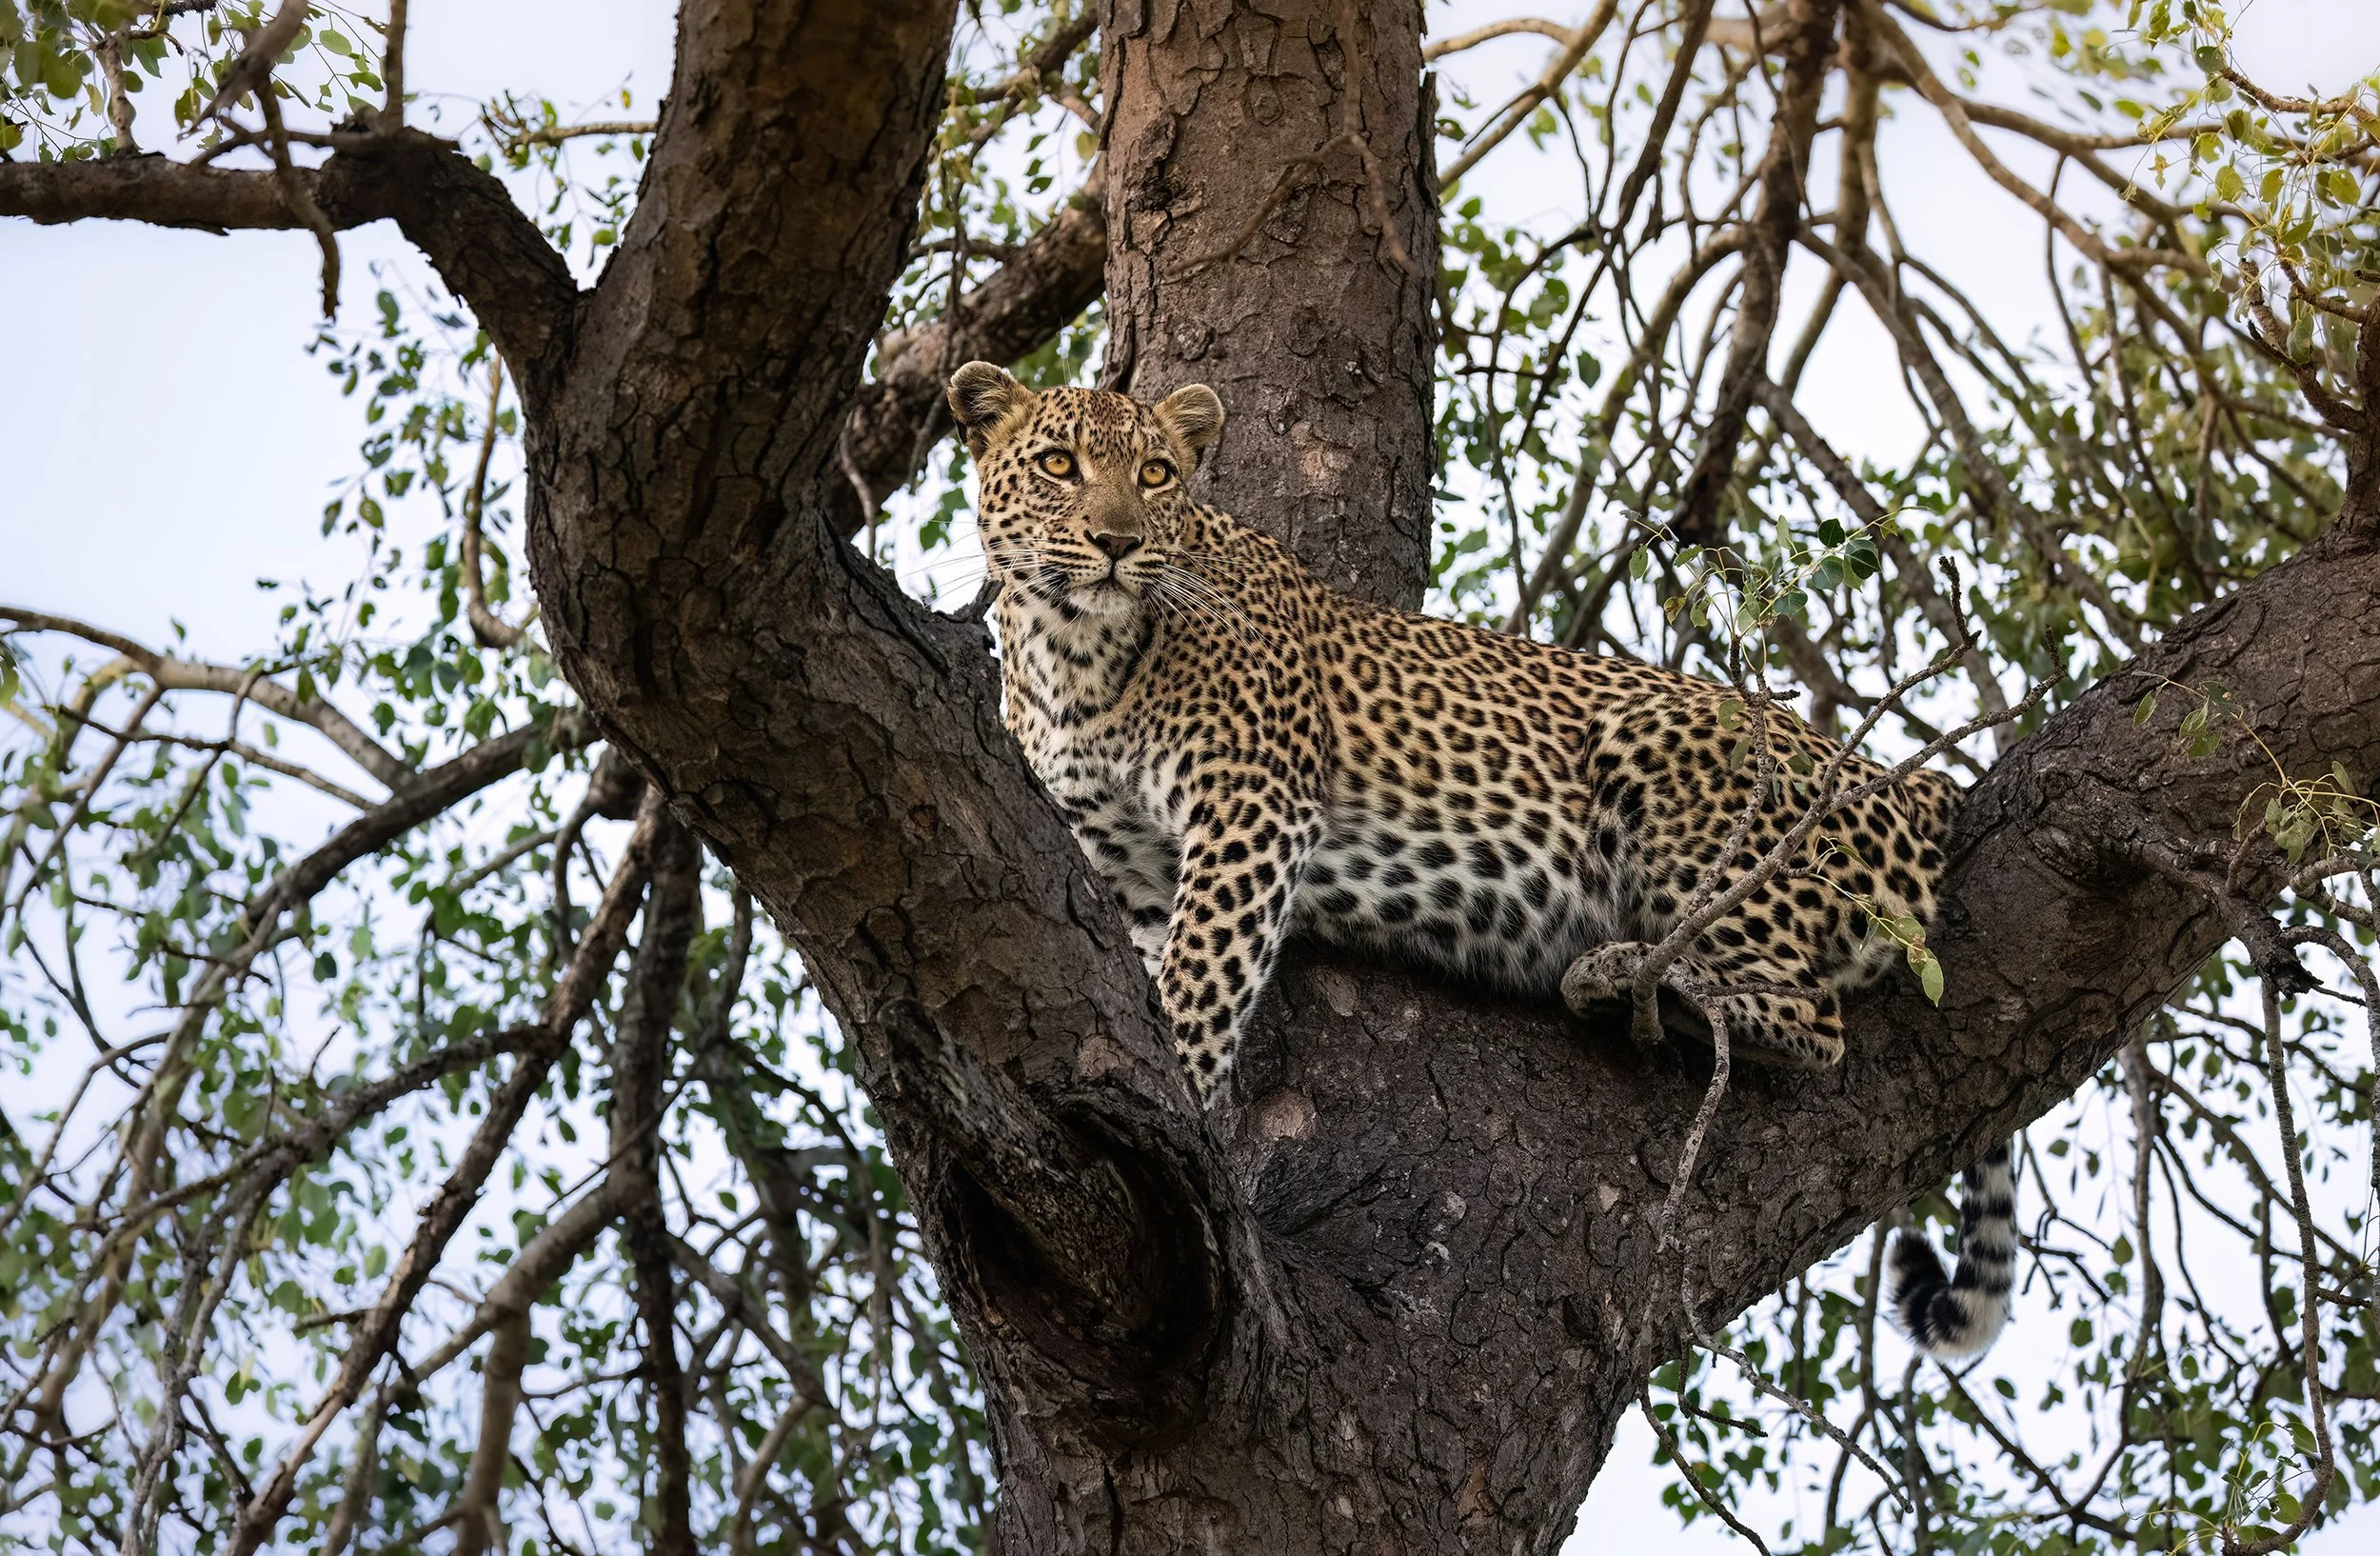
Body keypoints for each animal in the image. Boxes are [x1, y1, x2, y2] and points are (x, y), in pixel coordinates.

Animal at [946, 360, 2016, 1359]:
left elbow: (1204, 979)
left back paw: (1626, 974)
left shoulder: (1254, 803)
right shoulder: (1129, 871)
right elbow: (1157, 970)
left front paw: (1182, 1102)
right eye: (1059, 466)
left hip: (1678, 765)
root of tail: (1904, 776)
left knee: (1811, 1015)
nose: (1117, 542)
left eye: (1155, 475)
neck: (1070, 657)